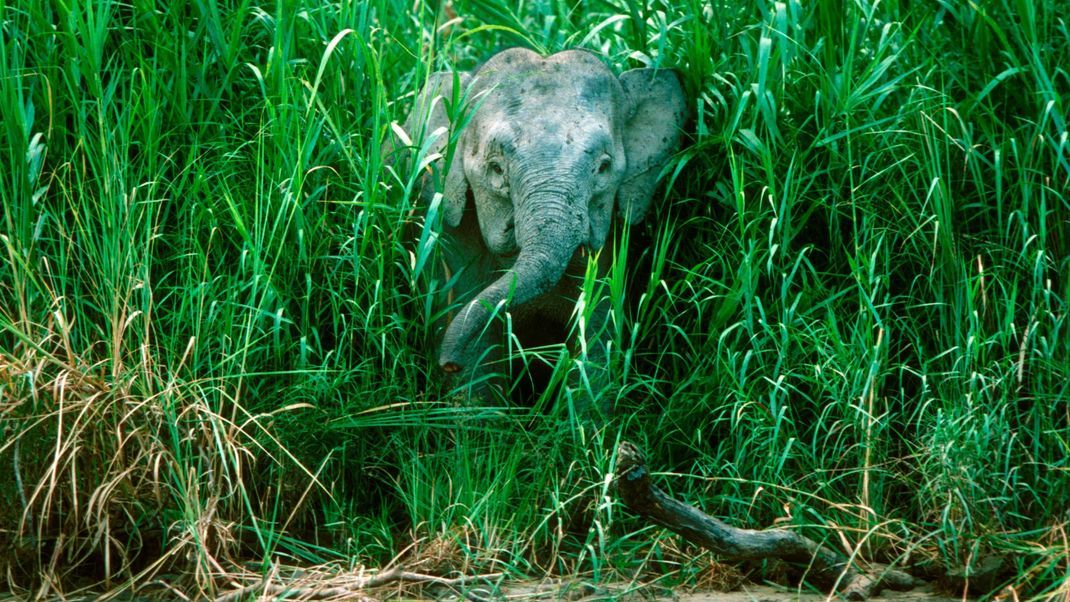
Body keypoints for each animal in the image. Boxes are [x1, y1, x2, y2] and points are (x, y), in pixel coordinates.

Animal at [385, 47, 684, 404]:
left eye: (603, 167)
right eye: (496, 168)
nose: (447, 363)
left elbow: (598, 331)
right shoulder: (444, 227)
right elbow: (474, 340)